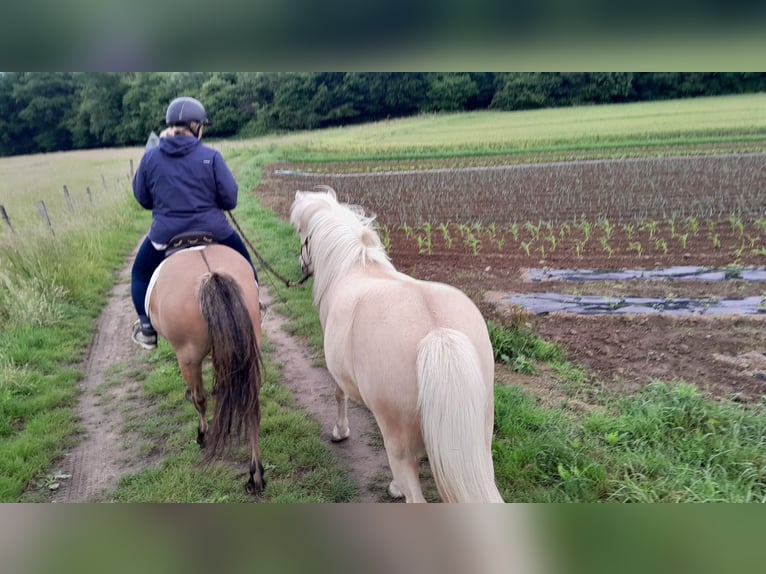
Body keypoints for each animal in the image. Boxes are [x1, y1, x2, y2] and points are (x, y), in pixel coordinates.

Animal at [146, 243, 265, 494]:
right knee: (251, 405)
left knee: (199, 398)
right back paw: (256, 475)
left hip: (188, 357)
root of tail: (211, 274)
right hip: (248, 351)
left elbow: (200, 397)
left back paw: (204, 435)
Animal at [290, 187, 504, 503]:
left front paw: (340, 432)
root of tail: (438, 334)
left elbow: (339, 395)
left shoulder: (337, 372)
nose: (302, 265)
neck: (355, 266)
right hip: (480, 438)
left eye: (301, 234)